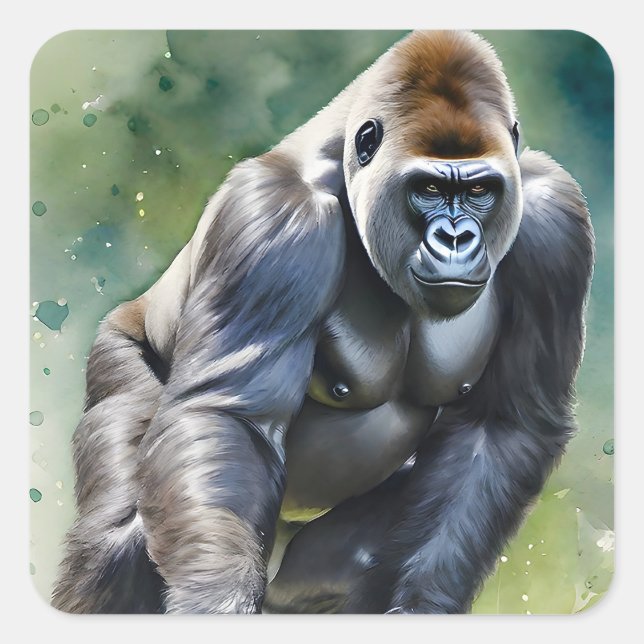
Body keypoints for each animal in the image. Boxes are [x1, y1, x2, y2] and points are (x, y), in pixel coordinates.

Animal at [51, 30, 594, 614]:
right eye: (428, 189)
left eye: (478, 191)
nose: (456, 239)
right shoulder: (277, 218)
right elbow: (229, 418)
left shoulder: (553, 218)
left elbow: (504, 425)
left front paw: (425, 602)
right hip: (122, 349)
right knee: (124, 530)